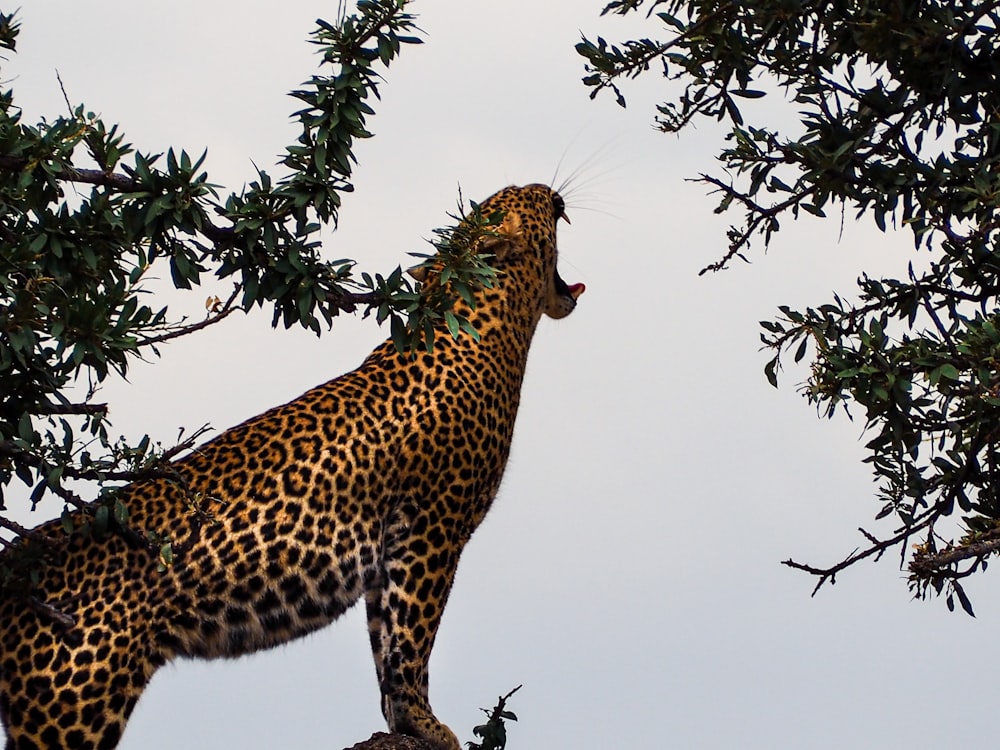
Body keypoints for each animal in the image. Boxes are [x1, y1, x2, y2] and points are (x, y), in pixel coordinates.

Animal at [0, 185, 584, 750]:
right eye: (527, 194)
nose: (552, 191)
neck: (496, 322)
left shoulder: (391, 550)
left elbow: (385, 643)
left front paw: (400, 722)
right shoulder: (432, 530)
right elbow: (413, 638)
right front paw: (425, 723)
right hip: (73, 703)